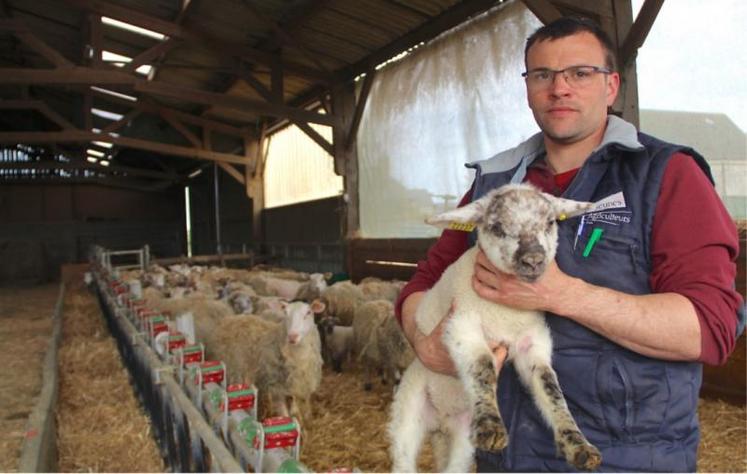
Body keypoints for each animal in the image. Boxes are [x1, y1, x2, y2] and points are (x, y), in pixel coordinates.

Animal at [386, 183, 600, 472]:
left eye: (550, 222)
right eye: (497, 228)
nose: (533, 260)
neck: (507, 316)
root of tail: (440, 425)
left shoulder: (532, 344)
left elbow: (550, 386)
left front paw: (578, 444)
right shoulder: (463, 327)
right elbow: (483, 366)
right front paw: (491, 426)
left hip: (463, 441)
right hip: (408, 411)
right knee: (404, 458)